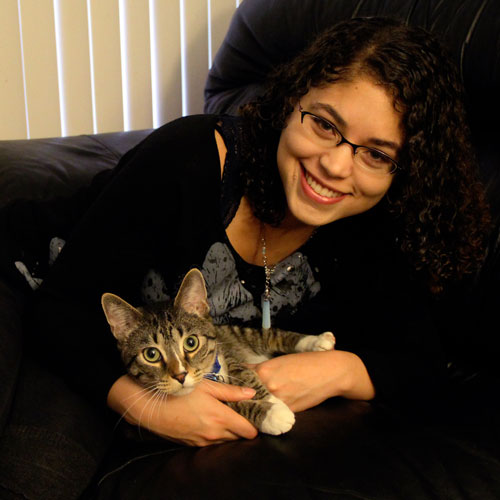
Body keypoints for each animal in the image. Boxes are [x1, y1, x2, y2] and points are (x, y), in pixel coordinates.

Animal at [101, 268, 336, 436]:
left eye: (191, 343)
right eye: (151, 354)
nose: (180, 375)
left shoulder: (225, 352)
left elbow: (244, 372)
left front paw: (271, 400)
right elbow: (231, 404)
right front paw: (272, 412)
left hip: (236, 332)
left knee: (269, 336)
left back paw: (317, 341)